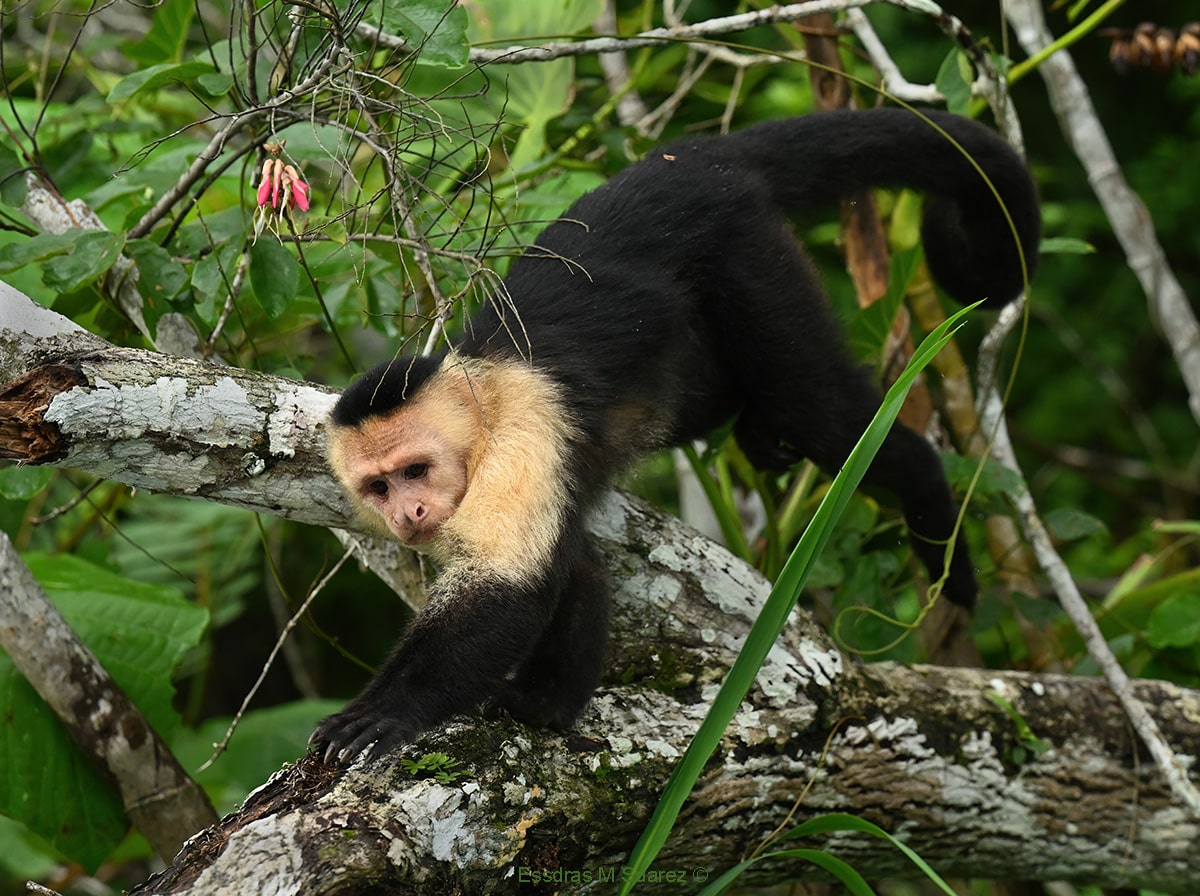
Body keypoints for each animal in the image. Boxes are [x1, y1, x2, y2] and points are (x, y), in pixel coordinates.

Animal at [312, 108, 1041, 762]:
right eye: (377, 486)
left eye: (415, 470)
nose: (407, 513)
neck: (482, 408)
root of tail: (689, 157)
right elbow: (574, 571)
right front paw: (550, 704)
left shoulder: (524, 433)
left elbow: (507, 588)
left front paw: (386, 710)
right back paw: (751, 426)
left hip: (747, 250)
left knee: (817, 408)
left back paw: (931, 508)